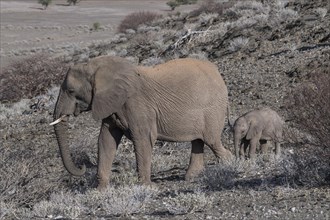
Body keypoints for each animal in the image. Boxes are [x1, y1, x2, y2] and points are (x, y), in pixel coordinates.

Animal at [51, 55, 232, 189]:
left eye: (71, 91)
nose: (82, 167)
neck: (96, 67)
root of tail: (217, 71)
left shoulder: (138, 106)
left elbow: (143, 139)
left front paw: (147, 187)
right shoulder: (112, 105)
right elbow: (105, 140)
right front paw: (100, 190)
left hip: (213, 108)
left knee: (211, 140)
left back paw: (230, 163)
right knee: (198, 140)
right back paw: (191, 177)